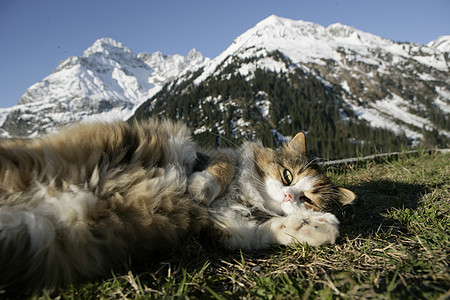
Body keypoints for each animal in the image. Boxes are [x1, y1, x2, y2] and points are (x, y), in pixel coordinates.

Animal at [0, 119, 354, 290]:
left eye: (308, 199)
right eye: (287, 175)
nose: (289, 196)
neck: (244, 198)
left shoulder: (227, 229)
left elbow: (269, 230)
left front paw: (316, 228)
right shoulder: (203, 155)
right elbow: (222, 169)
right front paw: (199, 188)